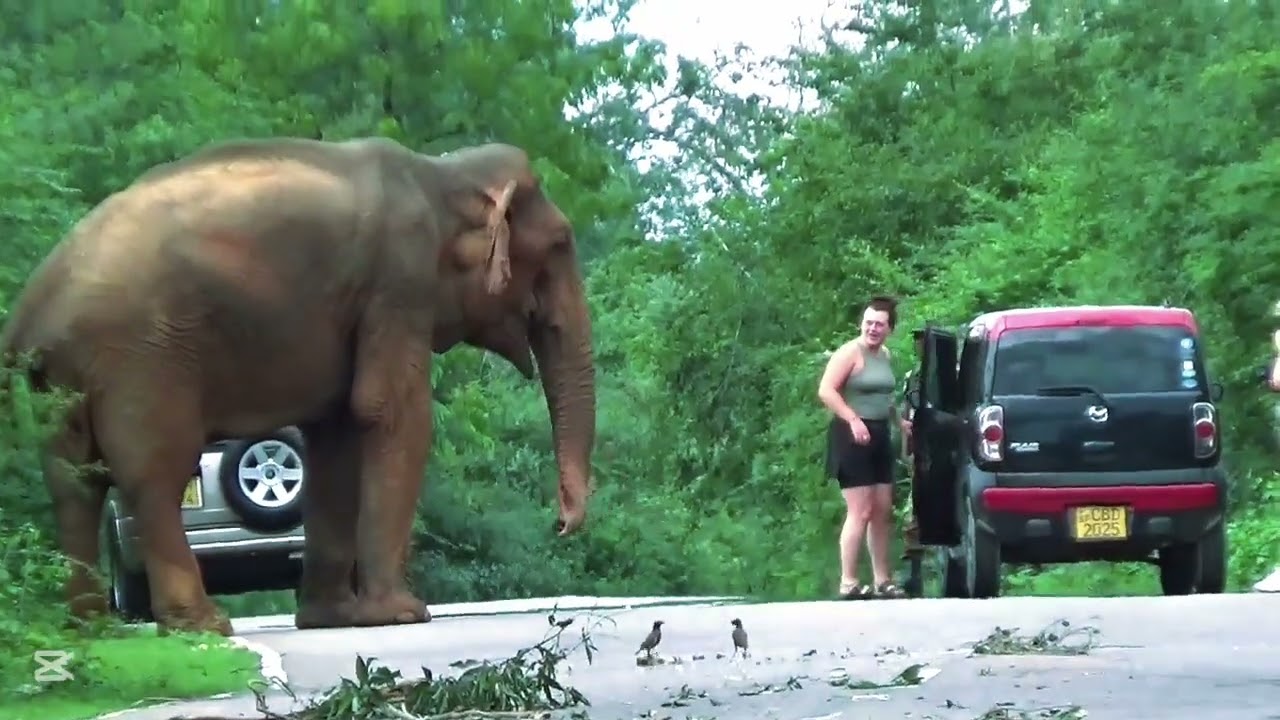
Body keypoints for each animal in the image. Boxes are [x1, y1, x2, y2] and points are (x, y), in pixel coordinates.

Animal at [0, 136, 597, 636]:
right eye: (557, 246)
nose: (561, 523)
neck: (442, 171)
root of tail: (30, 312)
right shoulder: (399, 281)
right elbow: (389, 412)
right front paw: (401, 615)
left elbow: (337, 432)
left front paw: (333, 620)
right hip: (140, 358)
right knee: (153, 474)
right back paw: (203, 626)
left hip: (59, 377)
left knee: (73, 481)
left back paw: (89, 628)